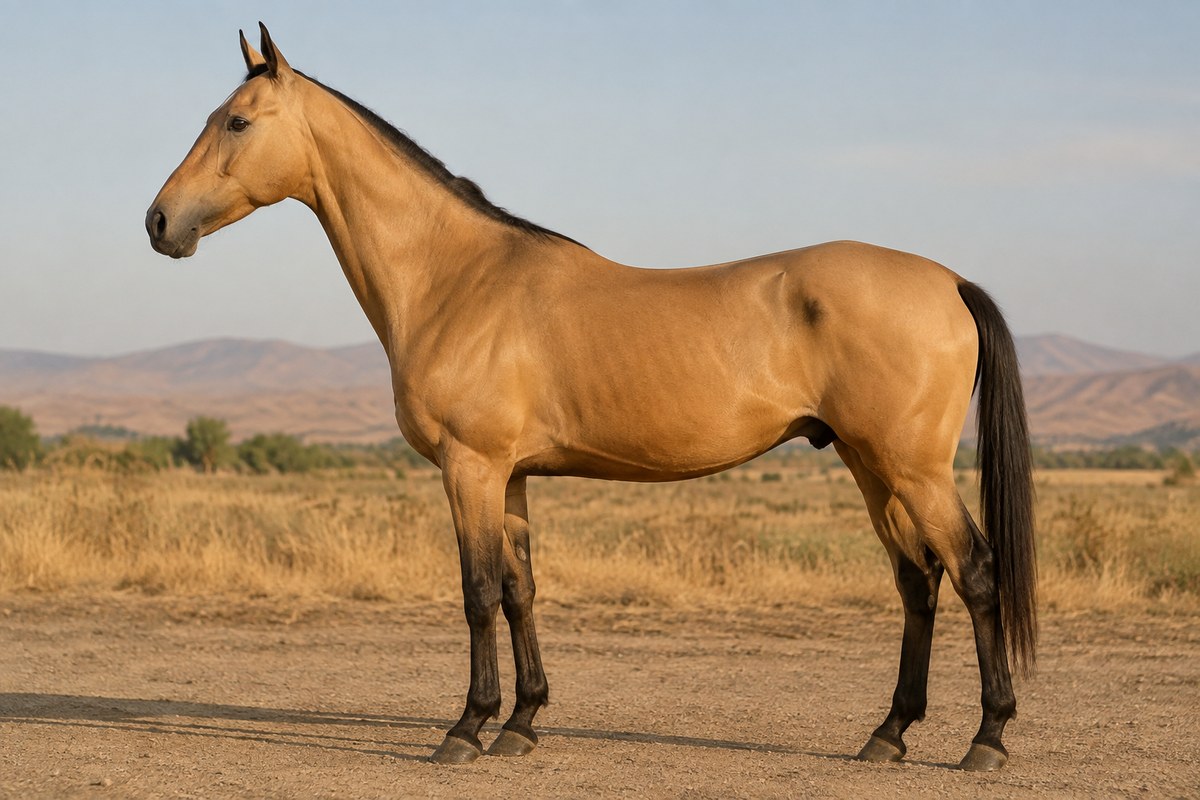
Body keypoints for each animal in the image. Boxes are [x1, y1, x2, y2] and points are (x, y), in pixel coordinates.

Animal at [147, 25, 1036, 771]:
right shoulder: (509, 477)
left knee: (975, 571)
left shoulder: (470, 468)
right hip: (868, 464)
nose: (159, 222)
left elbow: (476, 593)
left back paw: (986, 740)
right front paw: (521, 724)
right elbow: (519, 592)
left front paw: (465, 729)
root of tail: (949, 282)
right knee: (918, 581)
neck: (455, 278)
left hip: (912, 468)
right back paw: (888, 735)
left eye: (237, 122)